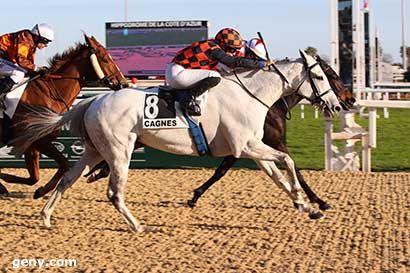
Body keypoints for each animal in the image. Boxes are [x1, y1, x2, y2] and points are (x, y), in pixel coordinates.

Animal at [0, 35, 127, 199]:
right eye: (105, 59)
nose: (124, 84)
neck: (48, 94)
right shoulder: (37, 141)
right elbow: (63, 164)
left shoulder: (33, 144)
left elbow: (35, 177)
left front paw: (39, 191)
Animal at [12, 50, 342, 231]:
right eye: (322, 77)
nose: (338, 106)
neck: (251, 94)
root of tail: (91, 101)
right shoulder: (247, 147)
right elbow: (288, 160)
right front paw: (306, 199)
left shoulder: (253, 149)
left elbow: (279, 176)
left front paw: (306, 205)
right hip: (120, 152)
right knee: (114, 193)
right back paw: (138, 226)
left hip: (94, 150)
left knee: (68, 179)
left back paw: (45, 216)